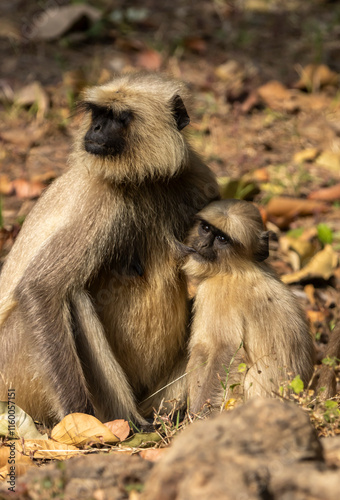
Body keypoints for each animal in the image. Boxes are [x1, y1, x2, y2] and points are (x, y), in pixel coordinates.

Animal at [0, 73, 218, 426]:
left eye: (118, 117)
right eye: (98, 114)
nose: (97, 128)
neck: (144, 181)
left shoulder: (198, 177)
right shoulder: (100, 196)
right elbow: (40, 289)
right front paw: (77, 423)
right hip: (15, 367)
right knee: (71, 295)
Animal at [179, 199, 314, 414]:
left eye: (222, 239)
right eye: (206, 229)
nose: (203, 244)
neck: (236, 269)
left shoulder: (218, 292)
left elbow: (226, 350)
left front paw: (196, 417)